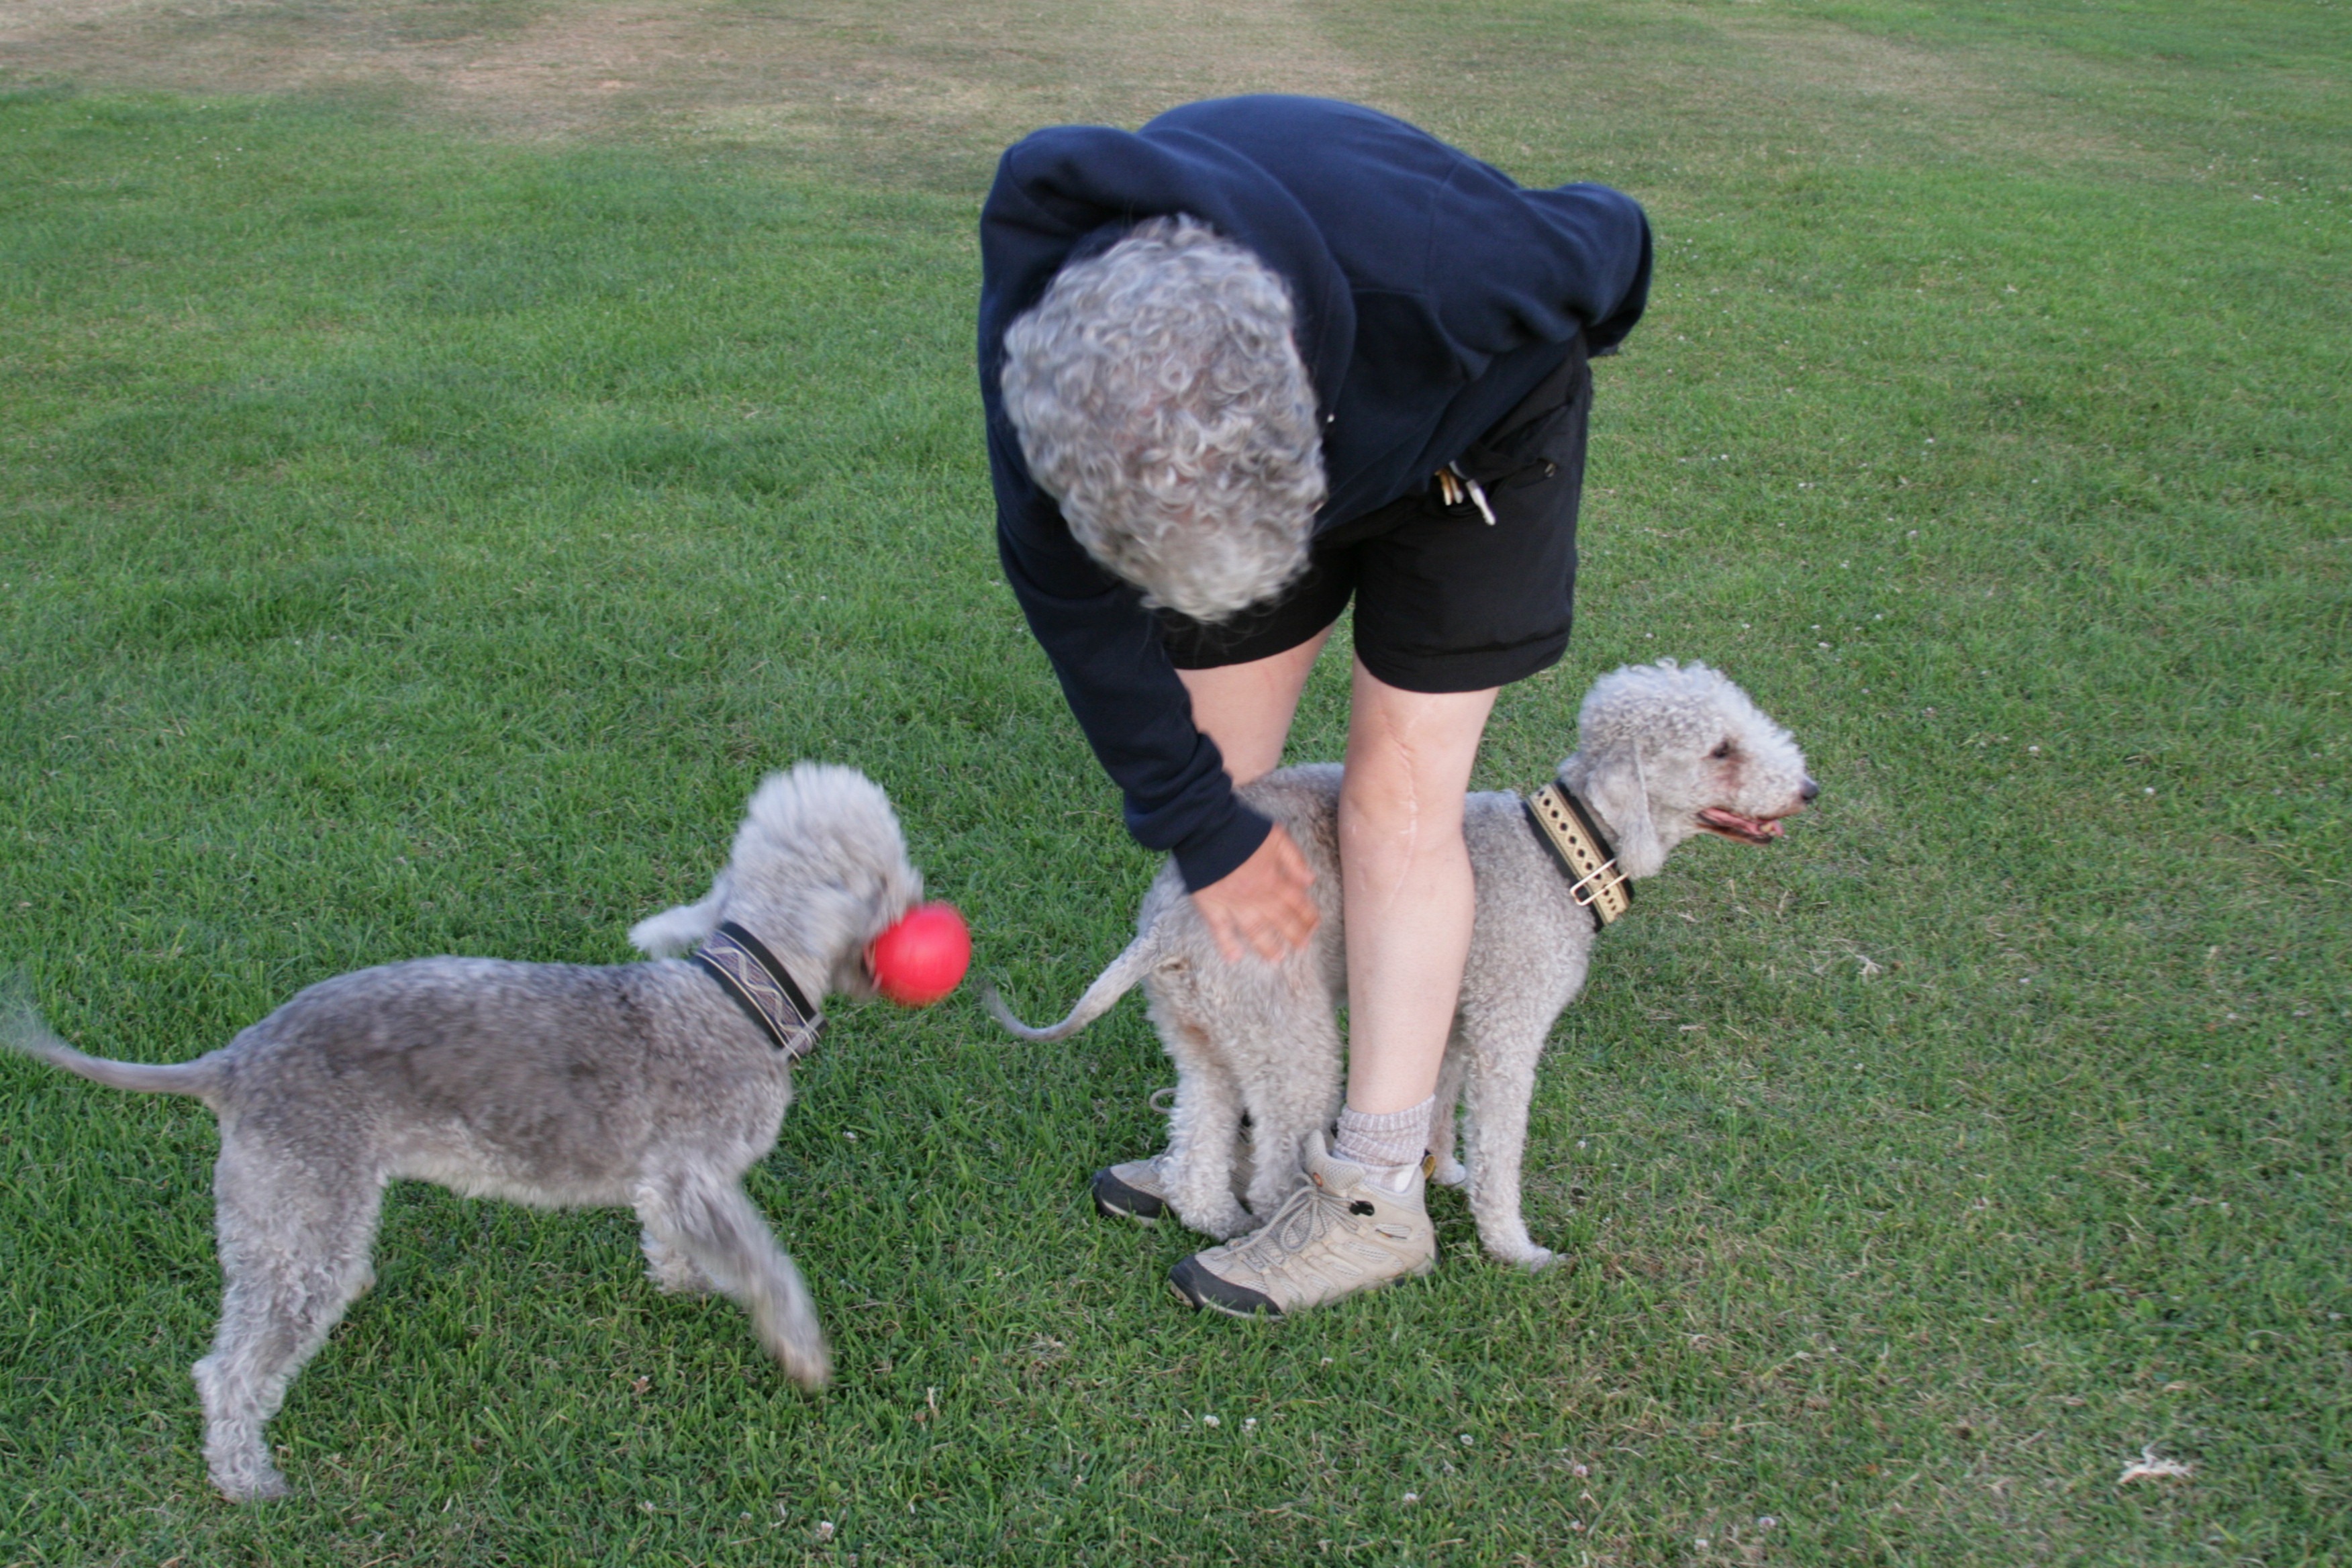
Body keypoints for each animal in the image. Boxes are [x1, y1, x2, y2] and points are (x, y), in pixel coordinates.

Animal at [2, 762, 921, 1501]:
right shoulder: (695, 1174)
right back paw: (246, 1479)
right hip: (301, 1203)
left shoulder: (666, 1186)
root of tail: (233, 1062)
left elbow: (669, 1237)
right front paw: (802, 1351)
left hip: (297, 1212)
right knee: (228, 1370)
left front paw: (682, 1281)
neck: (734, 998)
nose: (924, 903)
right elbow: (768, 1267)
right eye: (891, 866)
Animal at [989, 660, 1814, 1270]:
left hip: (1206, 1032)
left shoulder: (1454, 1023)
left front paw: (1440, 1171)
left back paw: (1215, 1217)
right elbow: (1501, 1147)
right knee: (1277, 1157)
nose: (1807, 788)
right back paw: (1270, 1231)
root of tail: (1167, 926)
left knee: (1199, 1139)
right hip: (1293, 1038)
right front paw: (1515, 1247)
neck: (1562, 853)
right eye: (1722, 750)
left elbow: (1442, 1107)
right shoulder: (1510, 1031)